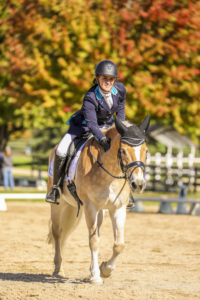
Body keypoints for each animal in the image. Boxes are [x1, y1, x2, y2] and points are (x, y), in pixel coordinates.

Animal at [47, 115, 150, 284]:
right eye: (123, 150)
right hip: (58, 205)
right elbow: (94, 242)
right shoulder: (90, 207)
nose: (138, 184)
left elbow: (119, 245)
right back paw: (58, 269)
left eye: (146, 151)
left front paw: (105, 270)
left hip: (100, 211)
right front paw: (96, 276)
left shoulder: (118, 209)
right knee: (58, 233)